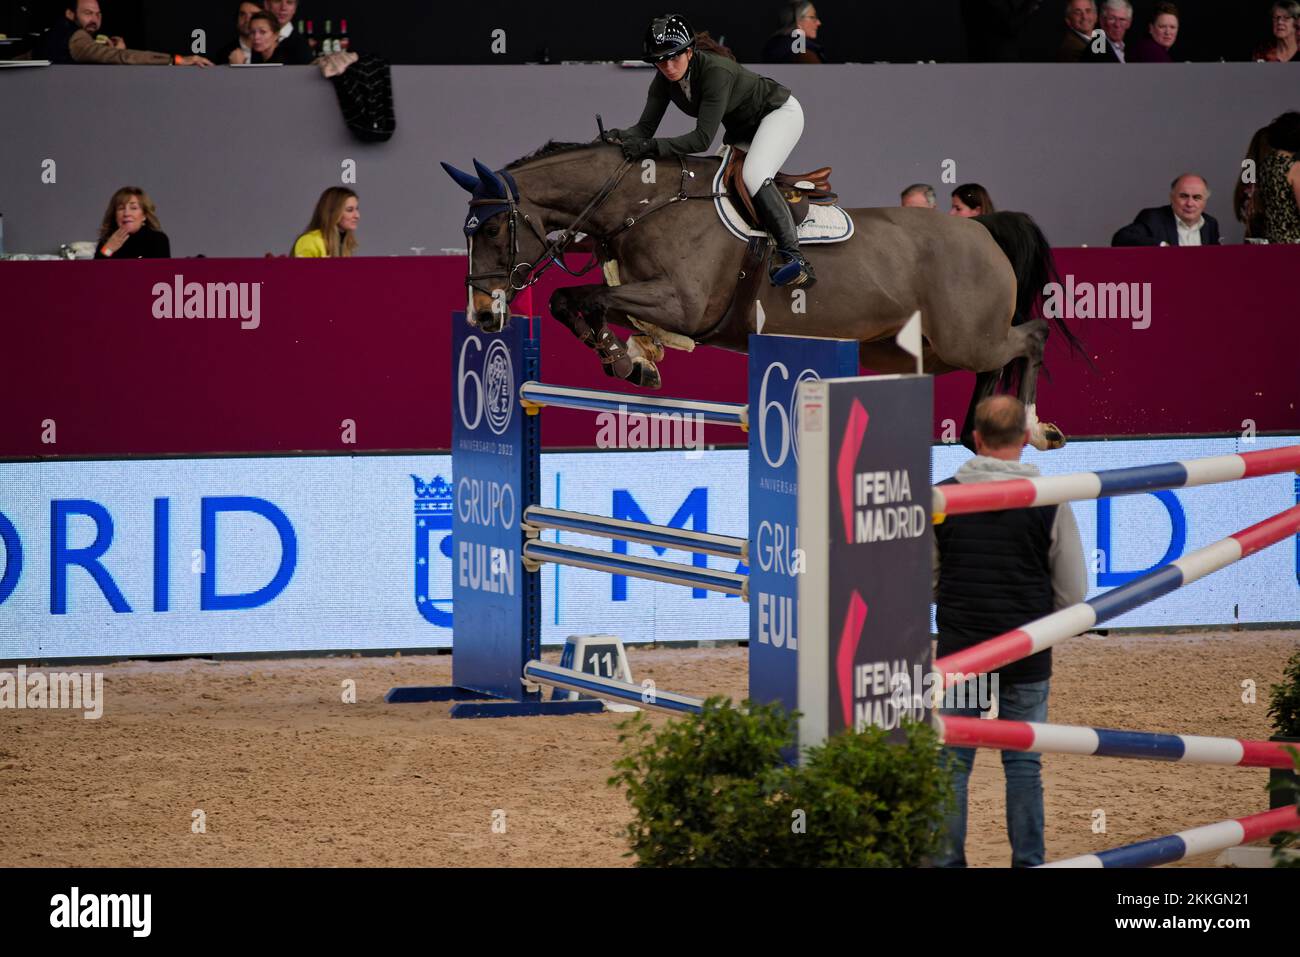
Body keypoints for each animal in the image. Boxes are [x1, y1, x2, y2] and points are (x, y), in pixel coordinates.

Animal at [441, 140, 1081, 449]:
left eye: (492, 231)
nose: (482, 315)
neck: (642, 202)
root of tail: (981, 229)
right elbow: (573, 302)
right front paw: (638, 359)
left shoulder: (683, 302)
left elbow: (587, 299)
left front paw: (627, 360)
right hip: (920, 349)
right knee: (996, 360)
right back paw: (983, 430)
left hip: (965, 337)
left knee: (1030, 338)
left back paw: (1032, 426)